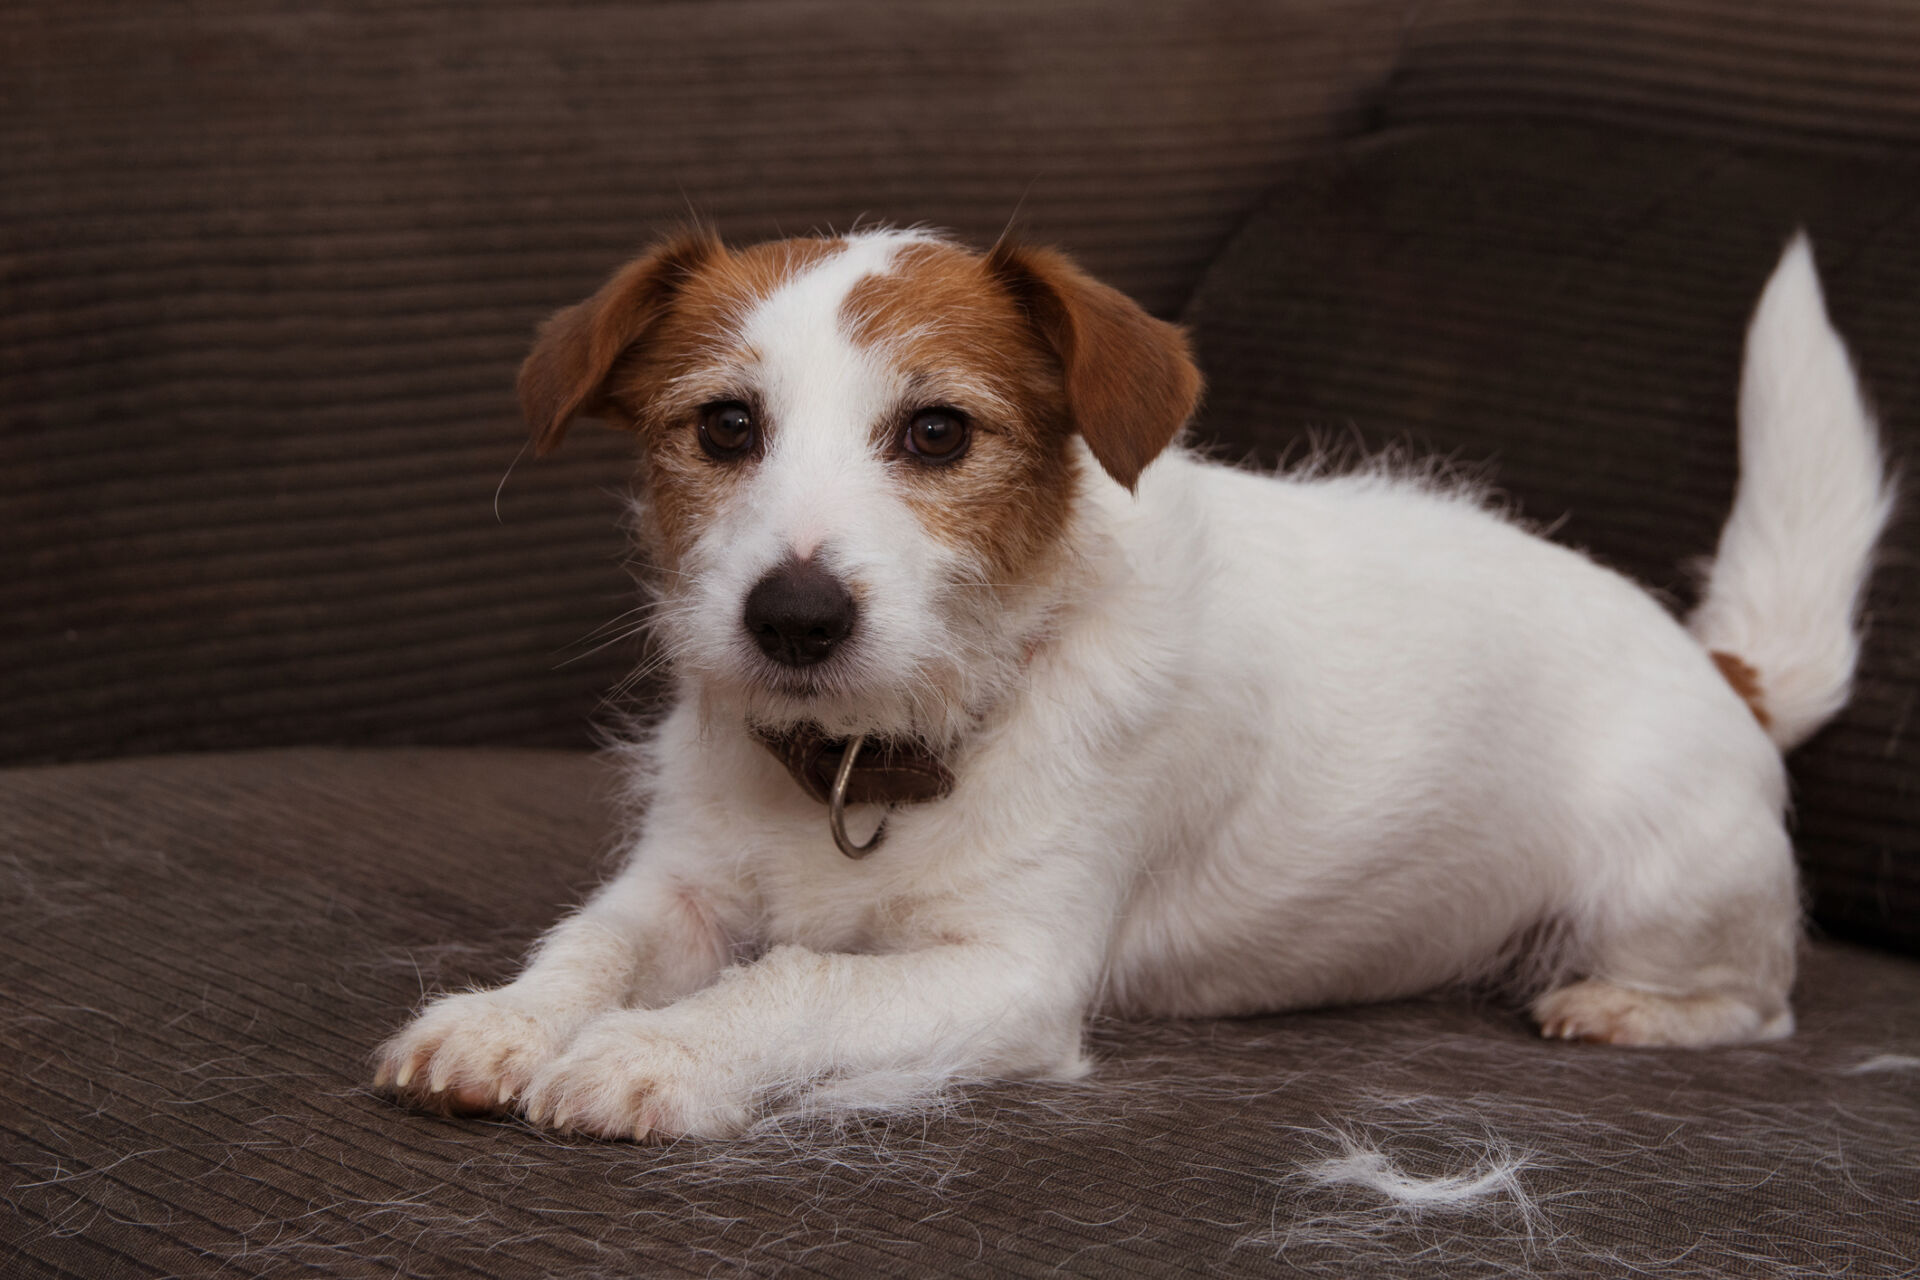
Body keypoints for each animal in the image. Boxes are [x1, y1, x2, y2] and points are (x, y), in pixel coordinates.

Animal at [370, 227, 1889, 1143]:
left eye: (938, 432)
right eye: (726, 427)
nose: (793, 617)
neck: (872, 763)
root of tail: (1720, 666)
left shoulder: (1007, 975)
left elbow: (798, 981)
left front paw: (663, 1053)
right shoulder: (680, 885)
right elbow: (593, 947)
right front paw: (504, 1020)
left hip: (1666, 893)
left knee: (1758, 1001)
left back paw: (1623, 1008)